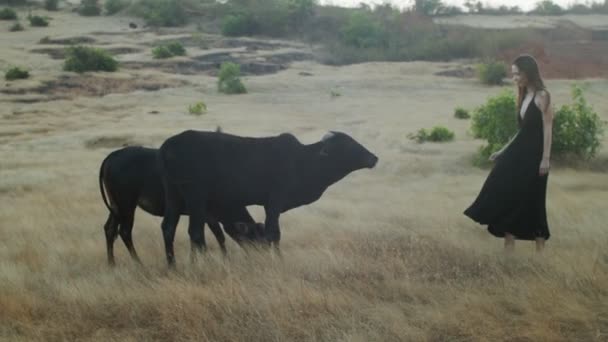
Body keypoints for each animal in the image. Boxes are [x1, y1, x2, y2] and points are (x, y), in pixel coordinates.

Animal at [98, 146, 264, 266]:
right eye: (253, 237)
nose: (257, 255)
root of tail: (111, 157)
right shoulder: (207, 214)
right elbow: (216, 236)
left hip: (116, 206)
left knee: (110, 229)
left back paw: (111, 263)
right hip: (126, 205)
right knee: (124, 231)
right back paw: (138, 262)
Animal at [158, 130, 376, 266]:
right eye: (347, 144)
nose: (374, 158)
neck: (303, 160)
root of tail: (167, 146)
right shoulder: (275, 201)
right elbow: (274, 233)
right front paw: (278, 261)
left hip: (174, 196)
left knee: (169, 228)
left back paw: (172, 265)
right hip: (196, 198)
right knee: (195, 232)